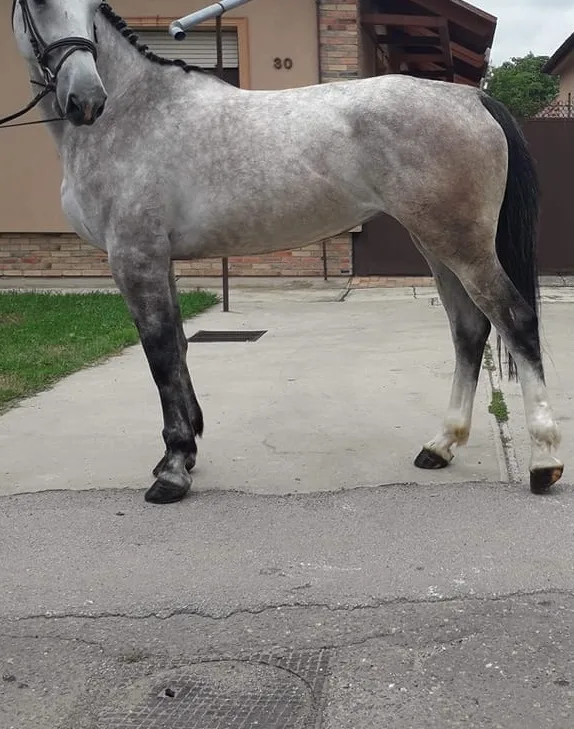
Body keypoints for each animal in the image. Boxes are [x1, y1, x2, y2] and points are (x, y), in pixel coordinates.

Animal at [6, 0, 564, 503]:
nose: (86, 98)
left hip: (463, 246)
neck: (135, 116)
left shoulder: (134, 258)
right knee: (469, 330)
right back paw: (441, 445)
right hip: (434, 244)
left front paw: (173, 470)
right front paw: (184, 452)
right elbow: (179, 348)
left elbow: (160, 354)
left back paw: (544, 461)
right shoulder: (159, 262)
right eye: (39, 2)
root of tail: (471, 100)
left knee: (515, 321)